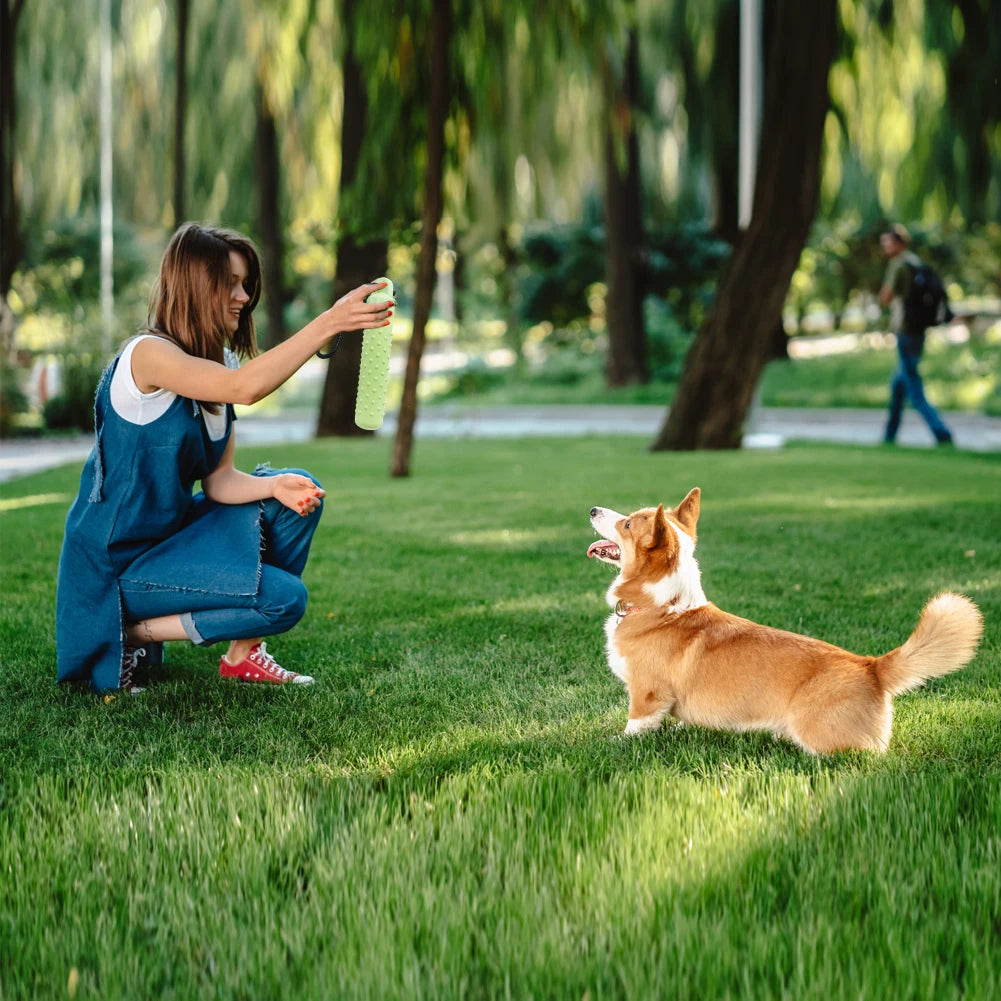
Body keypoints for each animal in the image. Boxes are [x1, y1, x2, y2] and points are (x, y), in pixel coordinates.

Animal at [588, 488, 980, 752]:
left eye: (626, 523)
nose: (592, 509)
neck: (663, 605)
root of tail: (872, 667)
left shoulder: (647, 694)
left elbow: (635, 725)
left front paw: (615, 742)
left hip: (821, 736)